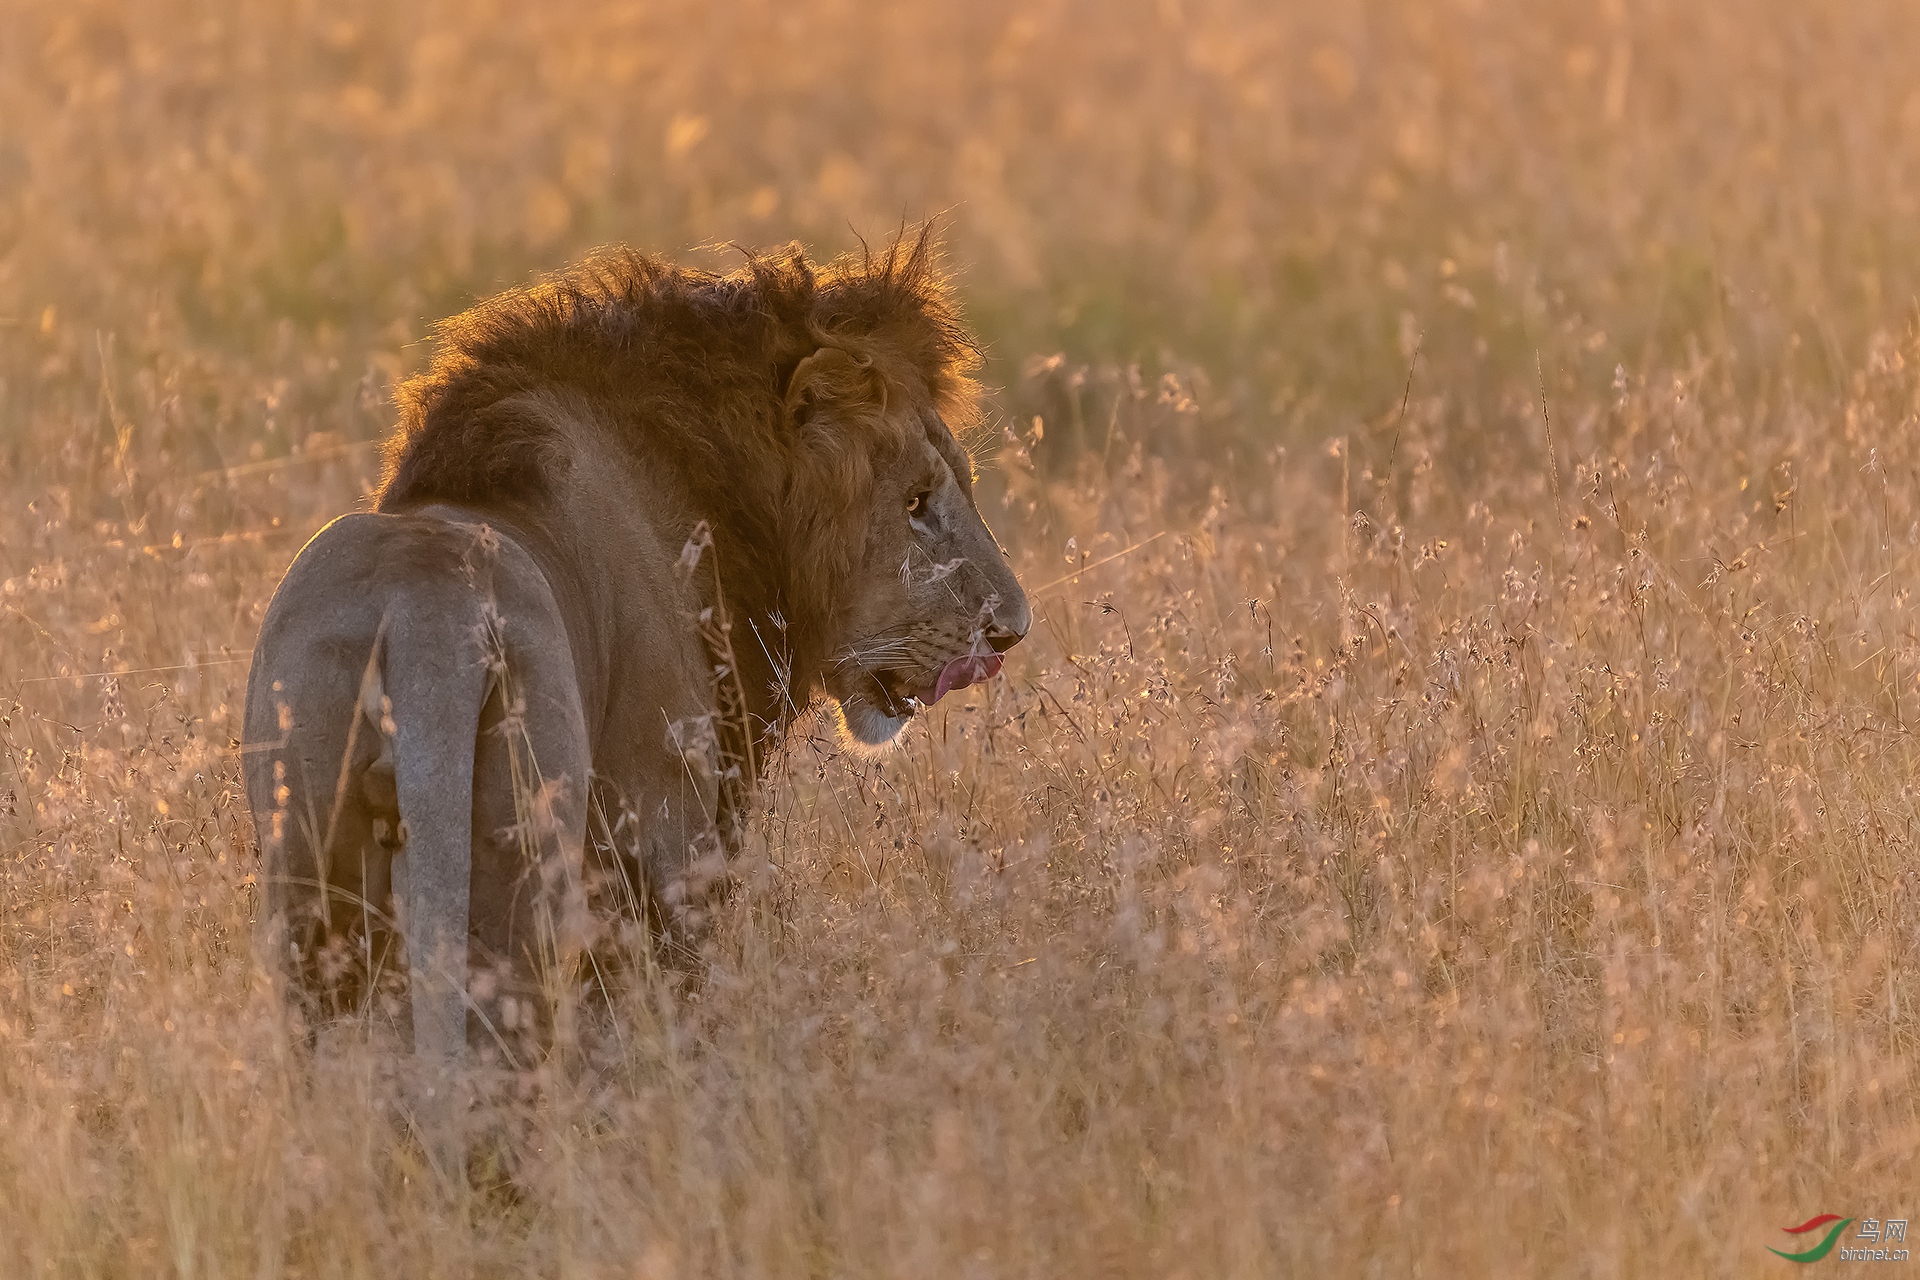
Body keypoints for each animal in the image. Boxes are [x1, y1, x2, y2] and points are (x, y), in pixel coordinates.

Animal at [243, 233, 1036, 1074]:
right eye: (916, 501)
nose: (1012, 631)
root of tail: (421, 611)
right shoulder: (666, 837)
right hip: (523, 860)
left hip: (308, 873)